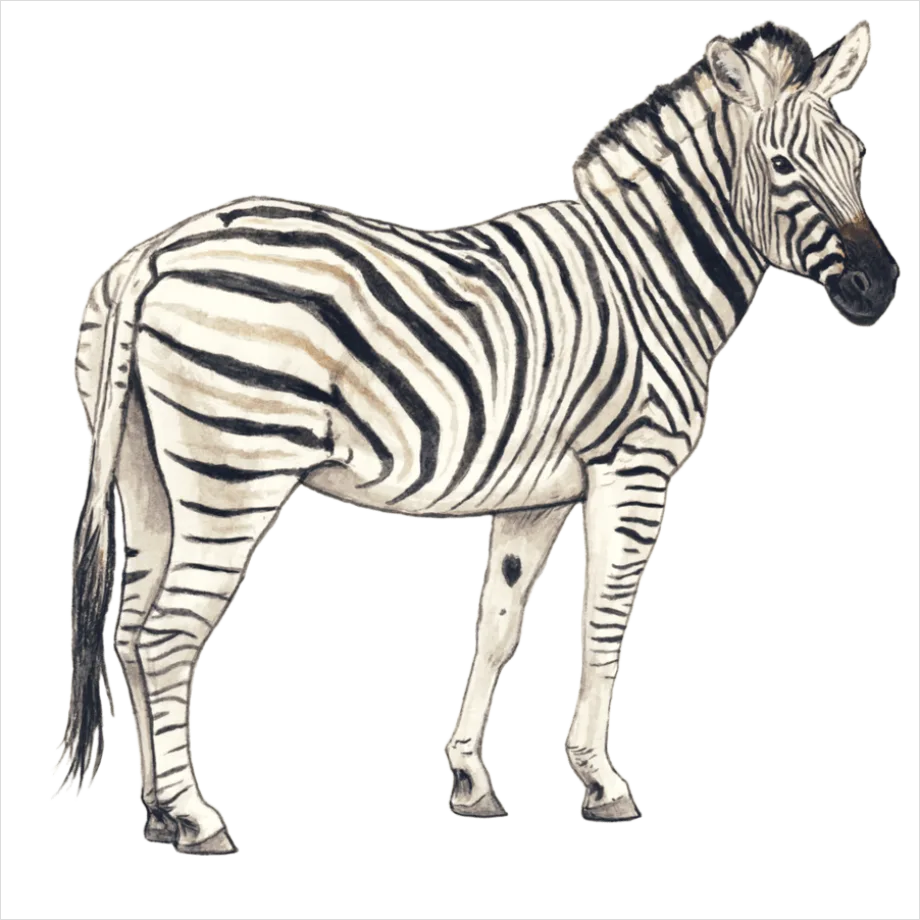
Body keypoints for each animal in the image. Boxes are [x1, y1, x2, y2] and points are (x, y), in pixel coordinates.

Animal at [59, 19, 899, 851]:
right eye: (781, 164)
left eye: (858, 156)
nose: (880, 286)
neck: (648, 276)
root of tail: (152, 254)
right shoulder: (631, 468)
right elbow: (604, 621)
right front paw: (604, 785)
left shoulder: (536, 495)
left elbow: (496, 624)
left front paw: (471, 784)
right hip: (235, 470)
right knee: (166, 635)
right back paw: (199, 819)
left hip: (145, 474)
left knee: (128, 631)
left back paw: (158, 815)